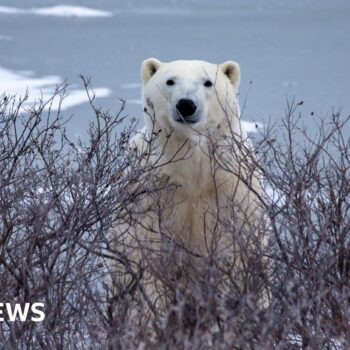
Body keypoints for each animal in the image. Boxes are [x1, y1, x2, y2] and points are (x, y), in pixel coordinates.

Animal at [110, 57, 266, 314]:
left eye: (208, 82)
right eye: (170, 81)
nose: (186, 105)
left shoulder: (231, 188)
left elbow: (233, 249)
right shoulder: (150, 192)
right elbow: (146, 253)